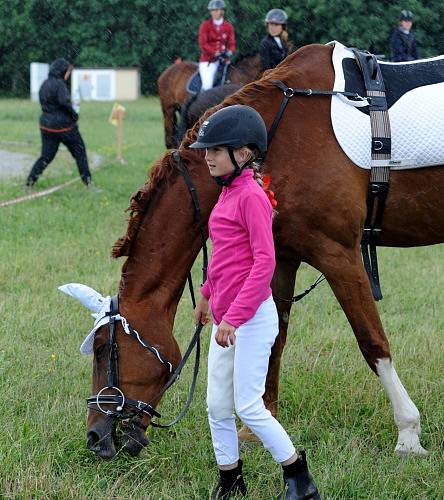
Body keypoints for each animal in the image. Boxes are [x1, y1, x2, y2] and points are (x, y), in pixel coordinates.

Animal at [86, 45, 440, 458]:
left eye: (101, 349)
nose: (95, 437)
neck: (279, 139)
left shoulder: (339, 254)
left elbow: (372, 342)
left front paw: (408, 432)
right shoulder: (282, 257)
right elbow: (272, 339)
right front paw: (257, 427)